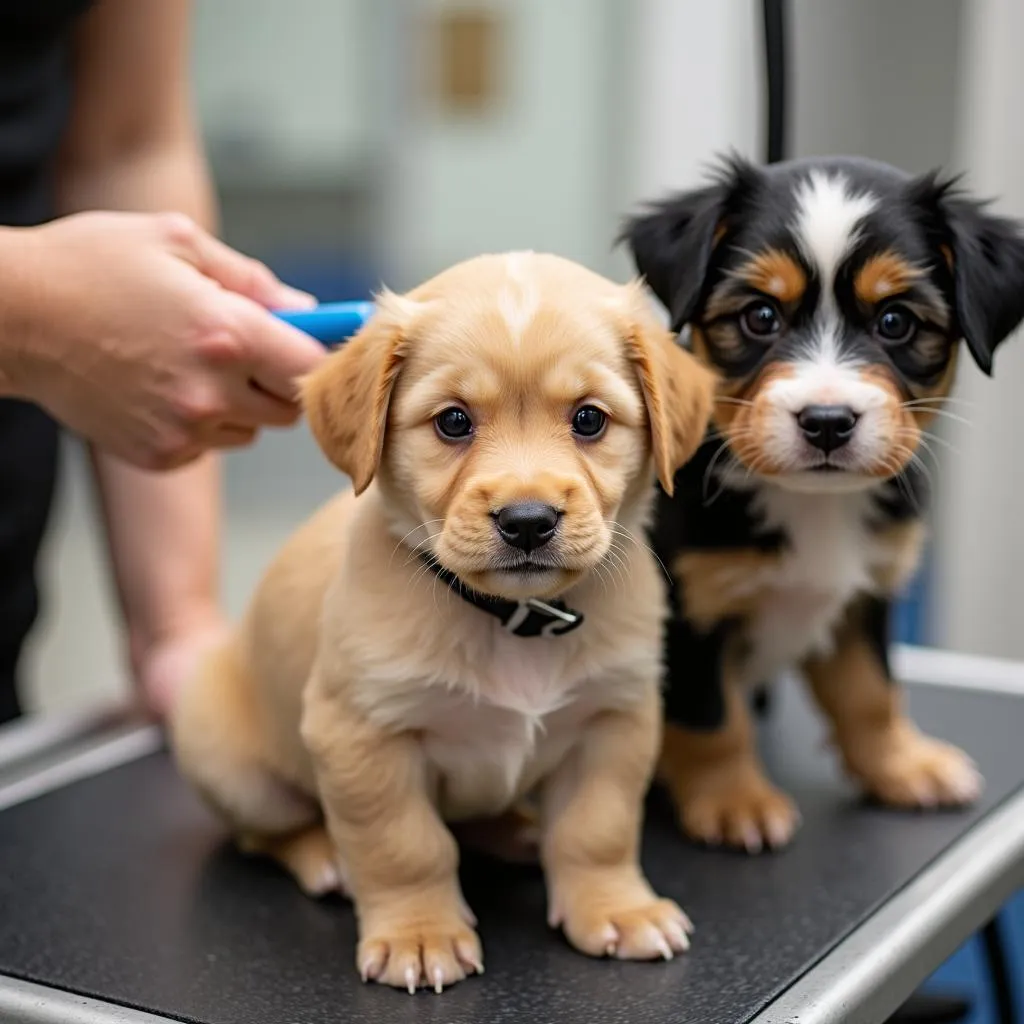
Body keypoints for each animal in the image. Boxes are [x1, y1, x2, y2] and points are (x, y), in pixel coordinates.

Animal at [169, 253, 712, 991]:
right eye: (453, 422)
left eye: (589, 419)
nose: (527, 521)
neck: (512, 621)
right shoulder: (361, 733)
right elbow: (405, 844)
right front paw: (419, 934)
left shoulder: (615, 719)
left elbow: (597, 829)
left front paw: (617, 909)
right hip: (230, 765)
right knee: (265, 833)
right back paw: (324, 856)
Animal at [618, 155, 1024, 851]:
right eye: (760, 316)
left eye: (895, 321)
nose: (828, 422)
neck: (814, 504)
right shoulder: (688, 612)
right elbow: (712, 718)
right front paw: (734, 801)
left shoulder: (866, 598)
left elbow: (872, 691)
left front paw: (901, 766)